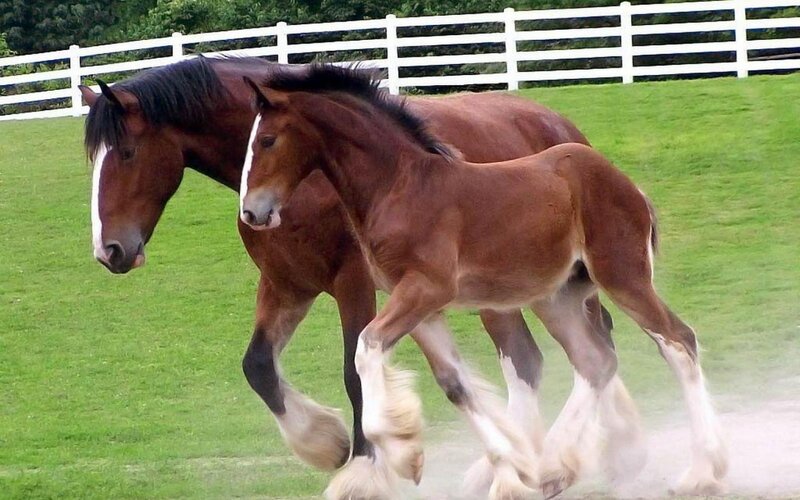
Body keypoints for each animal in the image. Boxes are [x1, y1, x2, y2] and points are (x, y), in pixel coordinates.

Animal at [80, 56, 641, 498]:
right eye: (93, 161)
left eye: (126, 153)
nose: (110, 250)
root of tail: (562, 128)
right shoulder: (287, 286)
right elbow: (258, 366)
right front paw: (325, 443)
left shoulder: (355, 284)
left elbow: (354, 373)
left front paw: (365, 469)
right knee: (558, 353)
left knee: (560, 352)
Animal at [239, 64, 729, 499]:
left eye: (267, 140)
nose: (252, 212)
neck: (400, 187)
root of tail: (626, 183)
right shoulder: (422, 308)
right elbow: (455, 385)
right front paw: (507, 473)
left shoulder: (424, 290)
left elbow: (366, 348)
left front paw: (400, 456)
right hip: (558, 297)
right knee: (596, 361)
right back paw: (553, 467)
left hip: (623, 276)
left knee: (678, 342)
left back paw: (701, 473)